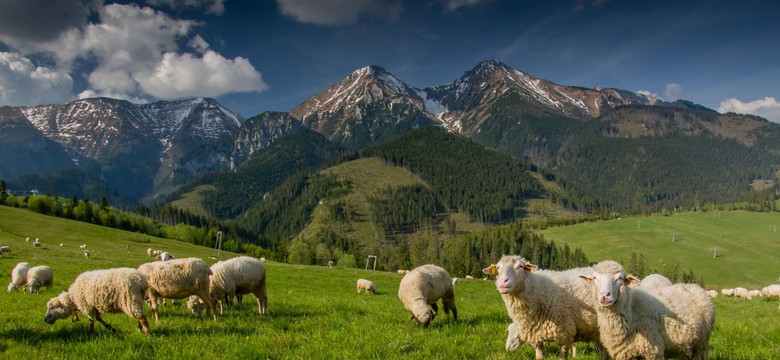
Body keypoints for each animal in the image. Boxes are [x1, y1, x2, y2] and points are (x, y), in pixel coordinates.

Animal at [580, 260, 712, 360]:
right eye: (595, 278)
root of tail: (695, 286)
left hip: (701, 345)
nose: (605, 295)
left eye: (620, 279)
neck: (631, 312)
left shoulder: (653, 351)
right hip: (686, 347)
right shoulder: (625, 353)